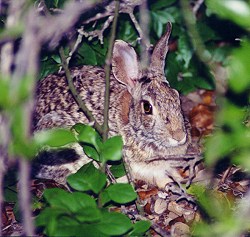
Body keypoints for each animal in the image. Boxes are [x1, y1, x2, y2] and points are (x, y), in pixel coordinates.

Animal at [32, 22, 190, 189]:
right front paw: (169, 184)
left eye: (176, 96)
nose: (179, 136)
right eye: (147, 107)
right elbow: (159, 178)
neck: (131, 123)